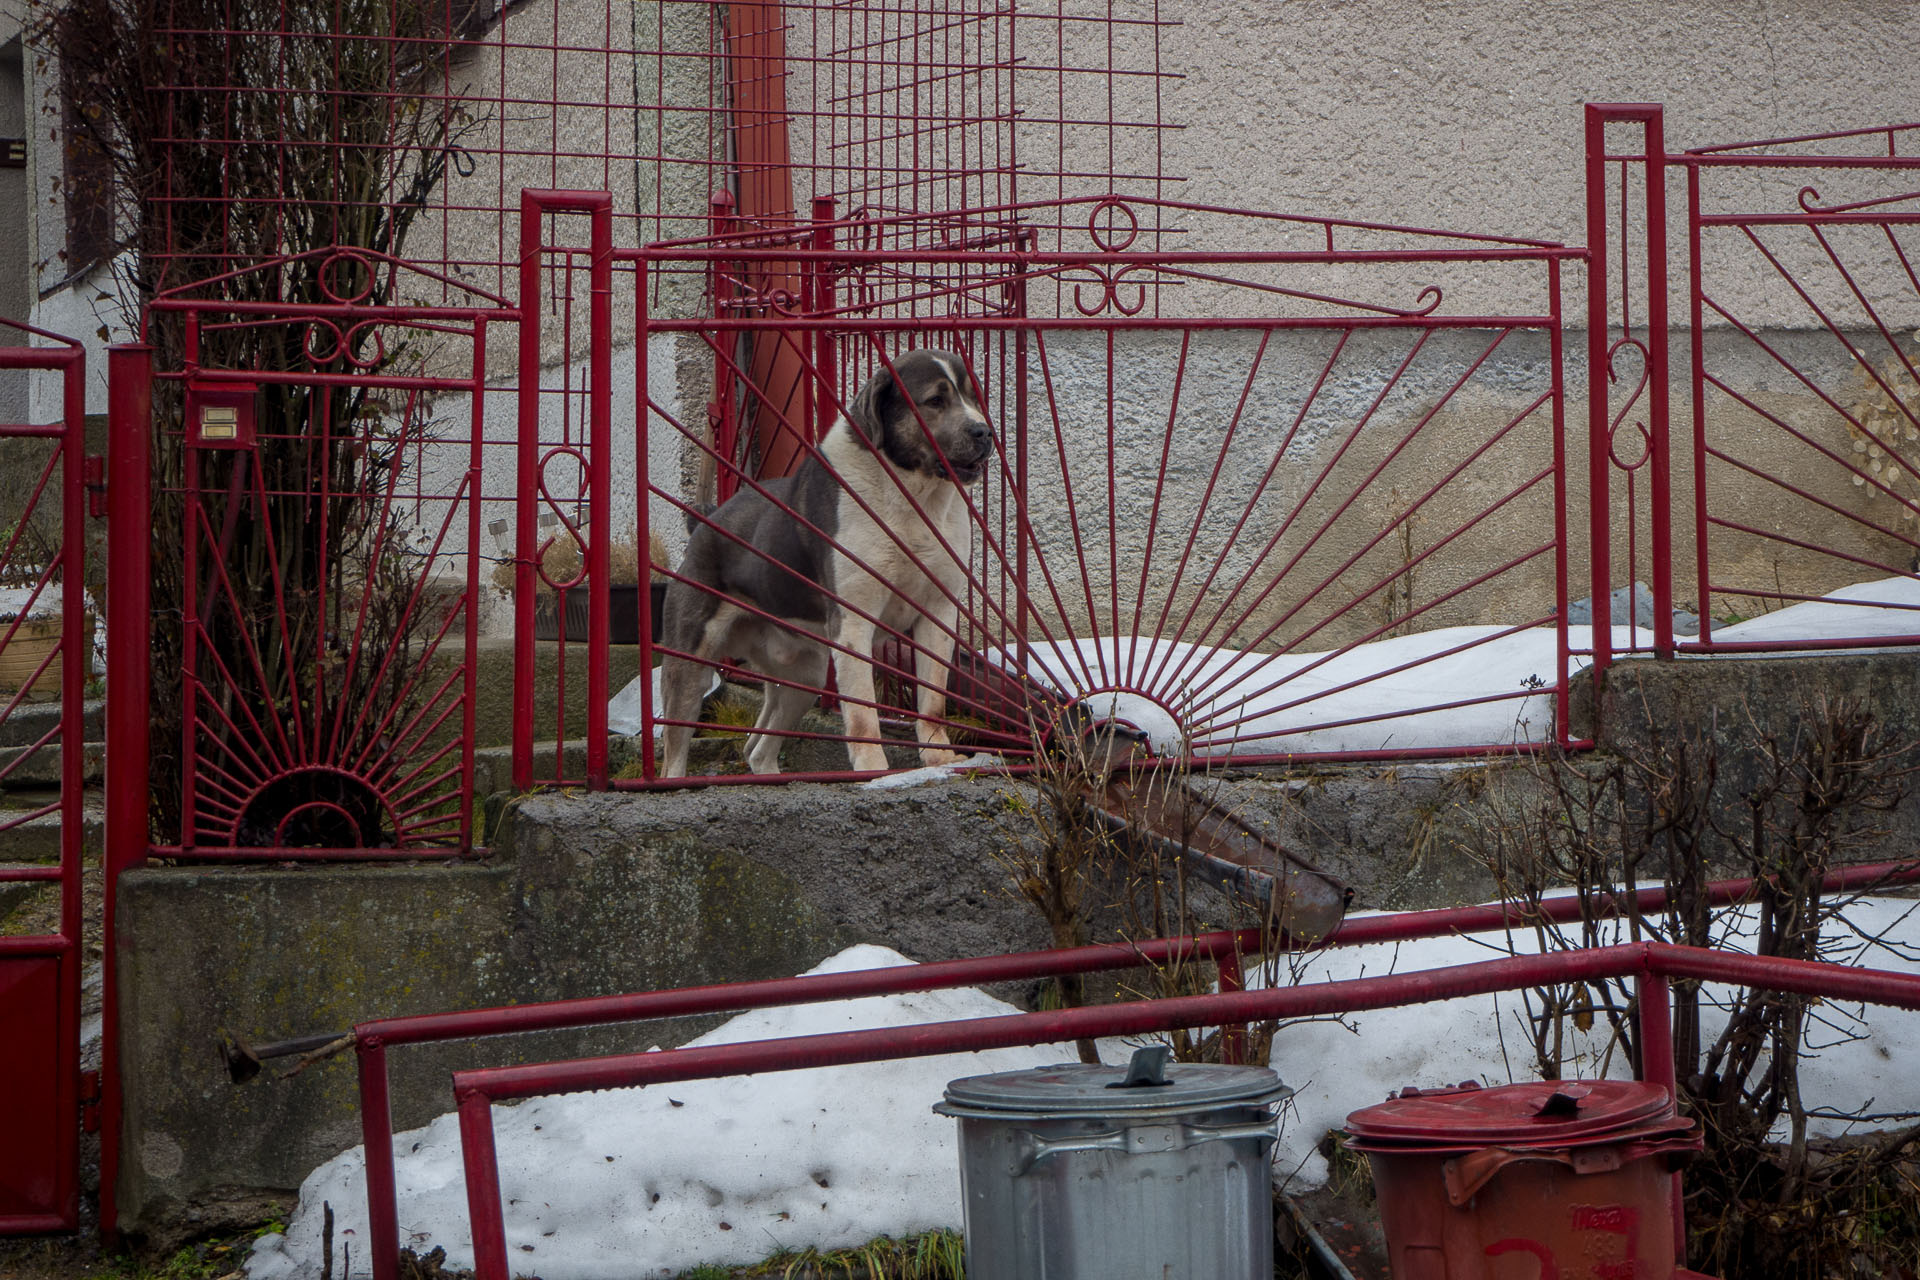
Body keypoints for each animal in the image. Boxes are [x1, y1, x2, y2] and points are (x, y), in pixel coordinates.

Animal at [656, 345, 998, 775]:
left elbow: (932, 700)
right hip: (689, 665)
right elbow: (864, 711)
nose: (985, 432)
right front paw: (873, 769)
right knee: (676, 747)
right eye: (935, 400)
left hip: (806, 675)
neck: (911, 496)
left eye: (974, 397)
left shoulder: (937, 613)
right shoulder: (853, 622)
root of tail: (704, 519)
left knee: (757, 749)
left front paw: (938, 758)